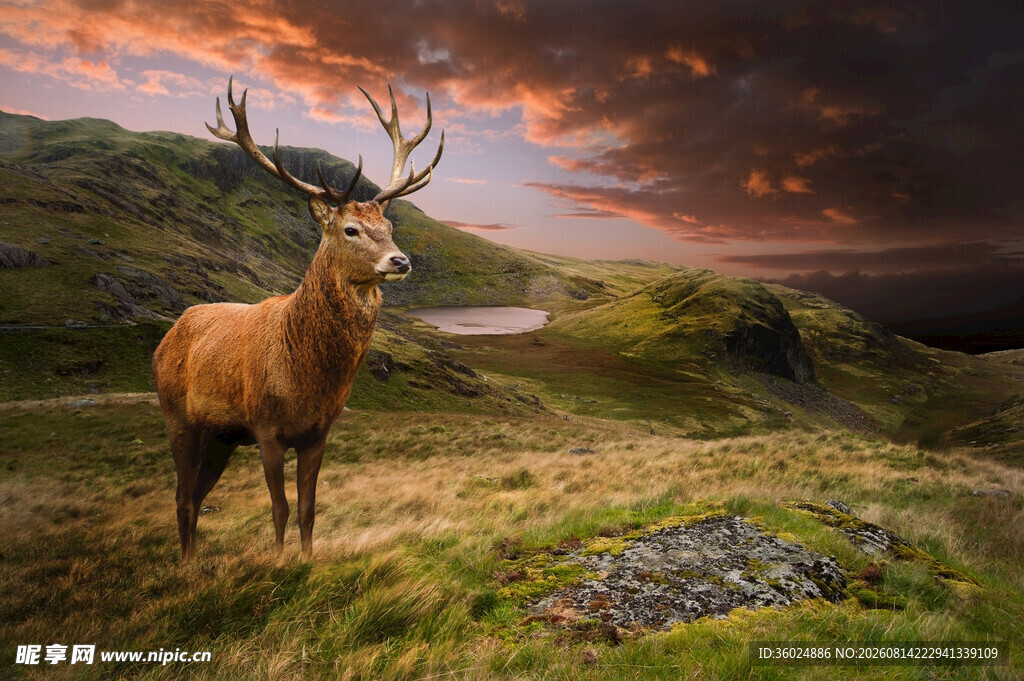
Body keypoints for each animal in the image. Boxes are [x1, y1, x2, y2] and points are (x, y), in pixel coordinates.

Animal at [153, 77, 443, 562]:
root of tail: (164, 339)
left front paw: (307, 561)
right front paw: (279, 562)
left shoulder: (319, 431)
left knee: (194, 495)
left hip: (219, 438)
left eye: (388, 225)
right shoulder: (266, 427)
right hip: (178, 418)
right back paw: (185, 565)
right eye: (350, 229)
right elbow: (280, 507)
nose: (401, 260)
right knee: (180, 496)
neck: (305, 377)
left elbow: (309, 506)